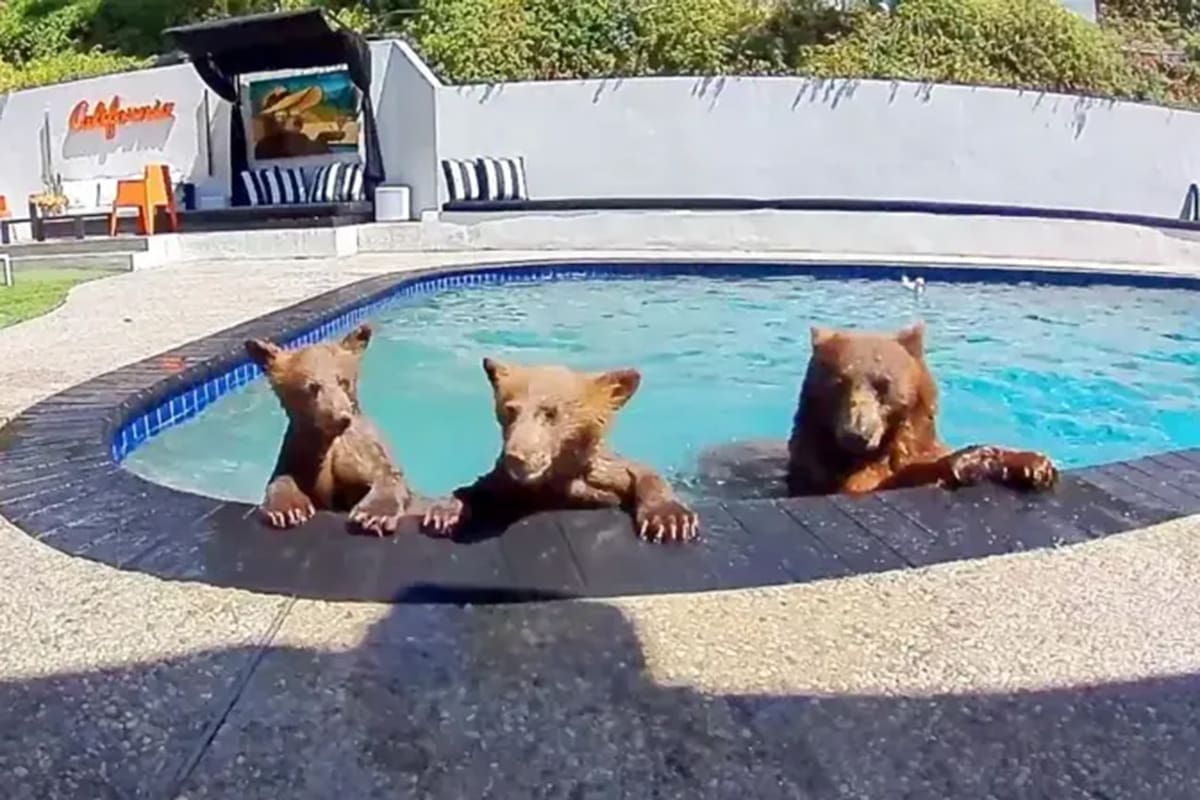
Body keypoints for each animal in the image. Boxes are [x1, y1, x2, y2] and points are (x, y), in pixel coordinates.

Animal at [244, 323, 417, 536]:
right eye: (312, 386)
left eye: (343, 380)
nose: (341, 417)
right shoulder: (299, 451)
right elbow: (283, 476)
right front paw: (288, 510)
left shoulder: (361, 446)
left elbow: (385, 473)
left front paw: (374, 514)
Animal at [421, 358, 698, 543]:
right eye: (510, 410)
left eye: (550, 412)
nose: (516, 457)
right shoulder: (512, 482)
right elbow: (483, 486)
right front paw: (445, 510)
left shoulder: (599, 471)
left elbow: (638, 472)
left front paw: (670, 519)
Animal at [786, 321, 1059, 496]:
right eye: (838, 383)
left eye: (883, 384)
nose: (856, 434)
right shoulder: (824, 470)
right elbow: (868, 484)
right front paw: (970, 461)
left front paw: (1035, 465)